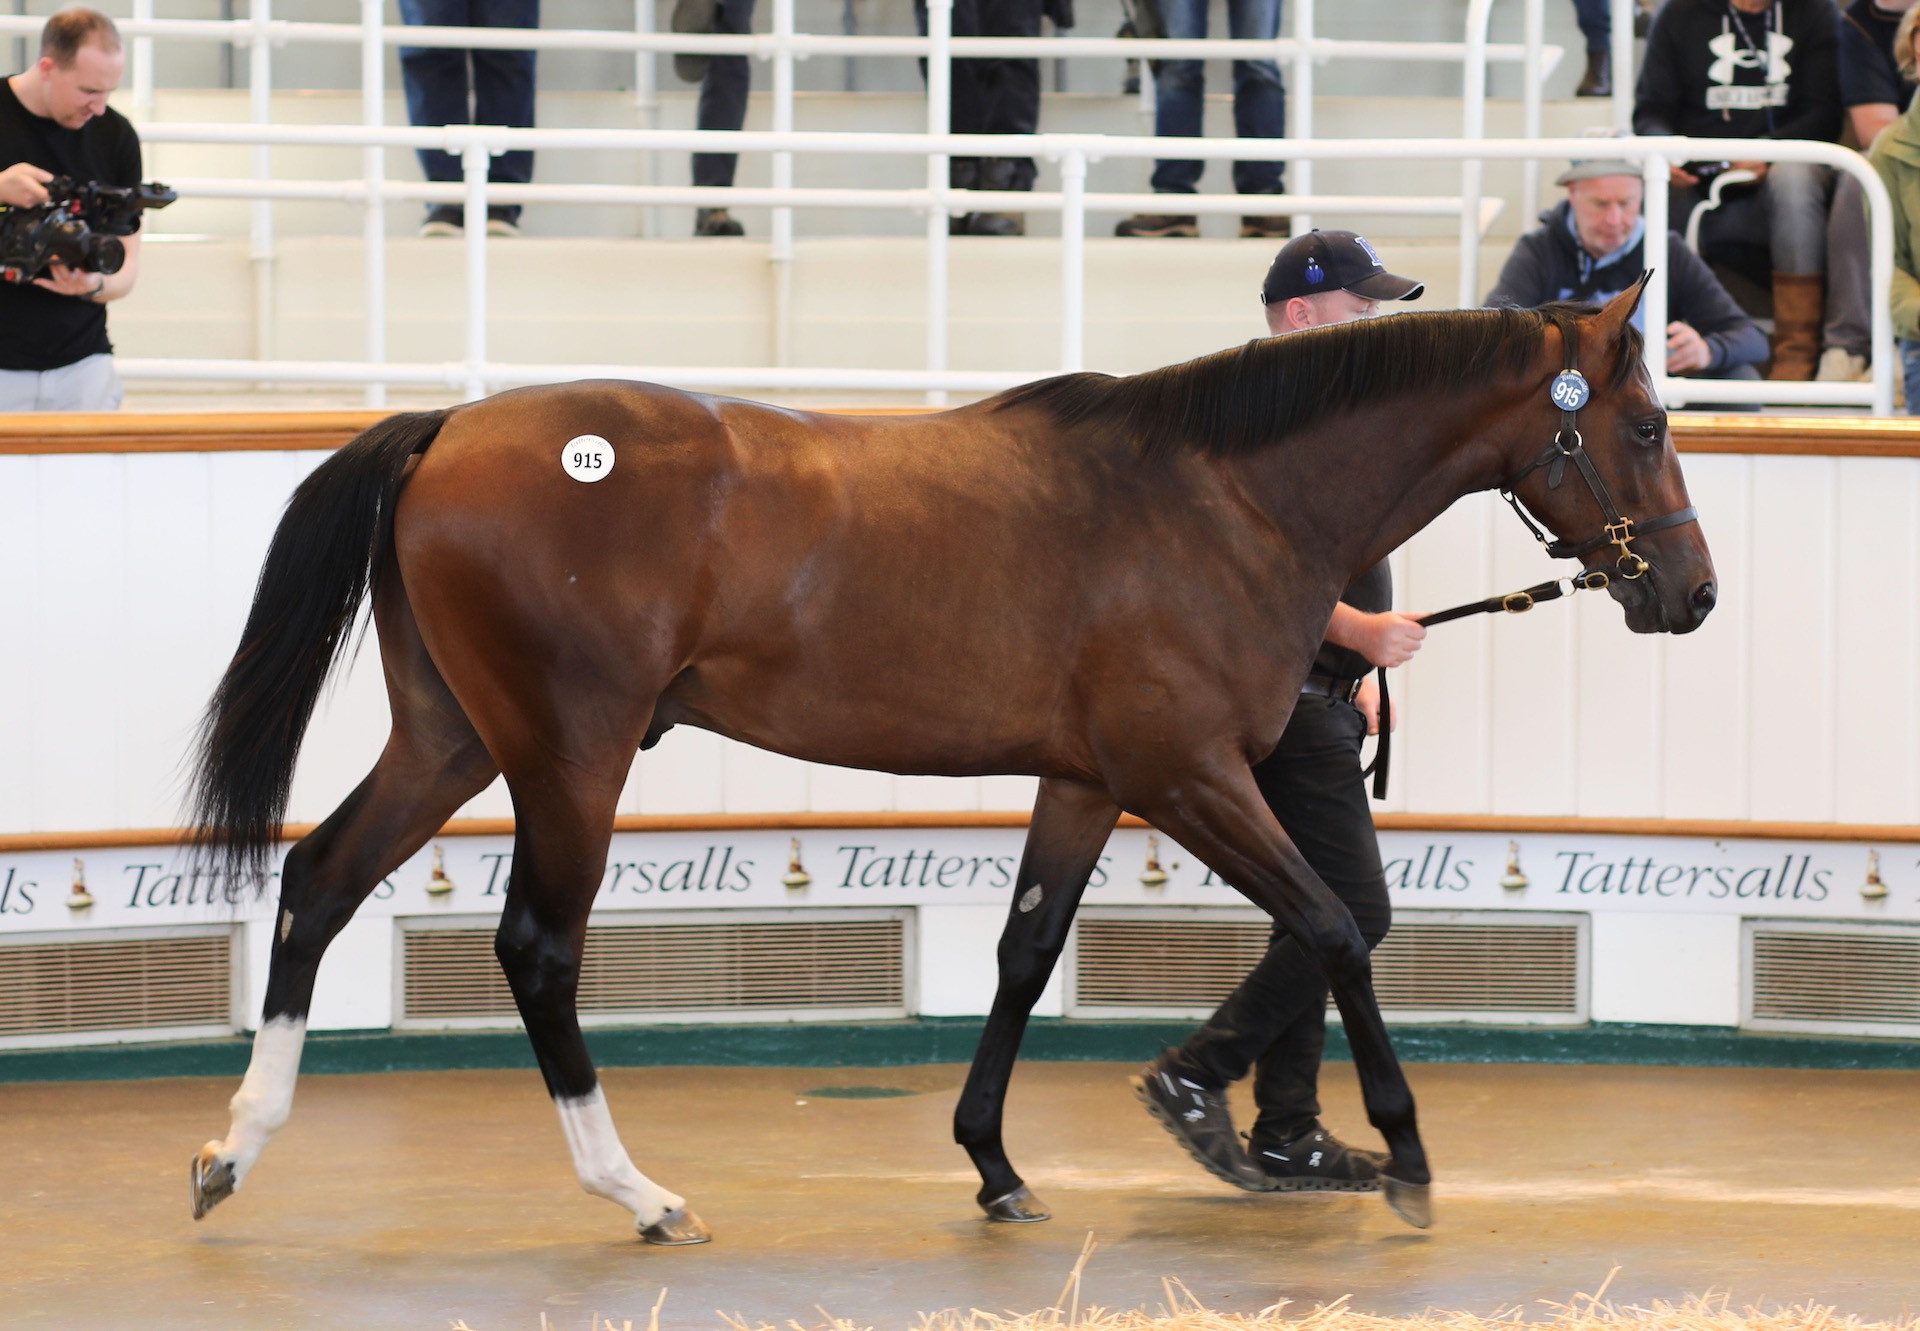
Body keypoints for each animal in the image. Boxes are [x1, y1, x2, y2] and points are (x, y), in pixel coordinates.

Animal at [183, 278, 1712, 1244]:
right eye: (1646, 425)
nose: (1690, 596)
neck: (1220, 496)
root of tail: (446, 428)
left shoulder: (1089, 779)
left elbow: (1025, 955)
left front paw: (993, 1161)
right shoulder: (1190, 772)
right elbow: (1335, 923)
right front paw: (1404, 1153)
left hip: (448, 736)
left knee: (320, 882)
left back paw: (233, 1146)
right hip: (570, 754)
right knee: (536, 949)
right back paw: (640, 1191)